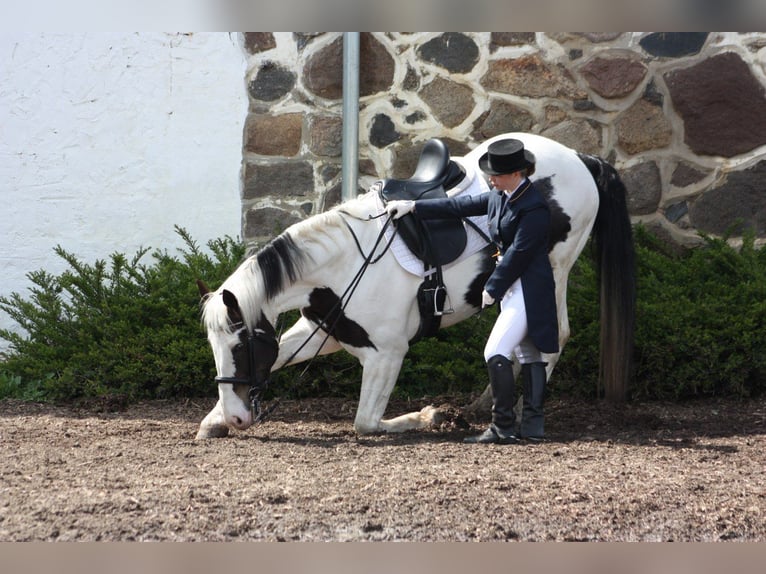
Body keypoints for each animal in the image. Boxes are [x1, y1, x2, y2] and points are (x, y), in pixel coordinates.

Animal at [194, 133, 636, 440]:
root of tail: (579, 157)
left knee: (553, 336)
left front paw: (429, 415)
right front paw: (214, 420)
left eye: (241, 346)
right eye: (215, 347)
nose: (239, 417)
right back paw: (486, 404)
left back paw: (515, 408)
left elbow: (366, 422)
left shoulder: (388, 353)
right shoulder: (322, 332)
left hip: (550, 271)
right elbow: (283, 356)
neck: (343, 265)